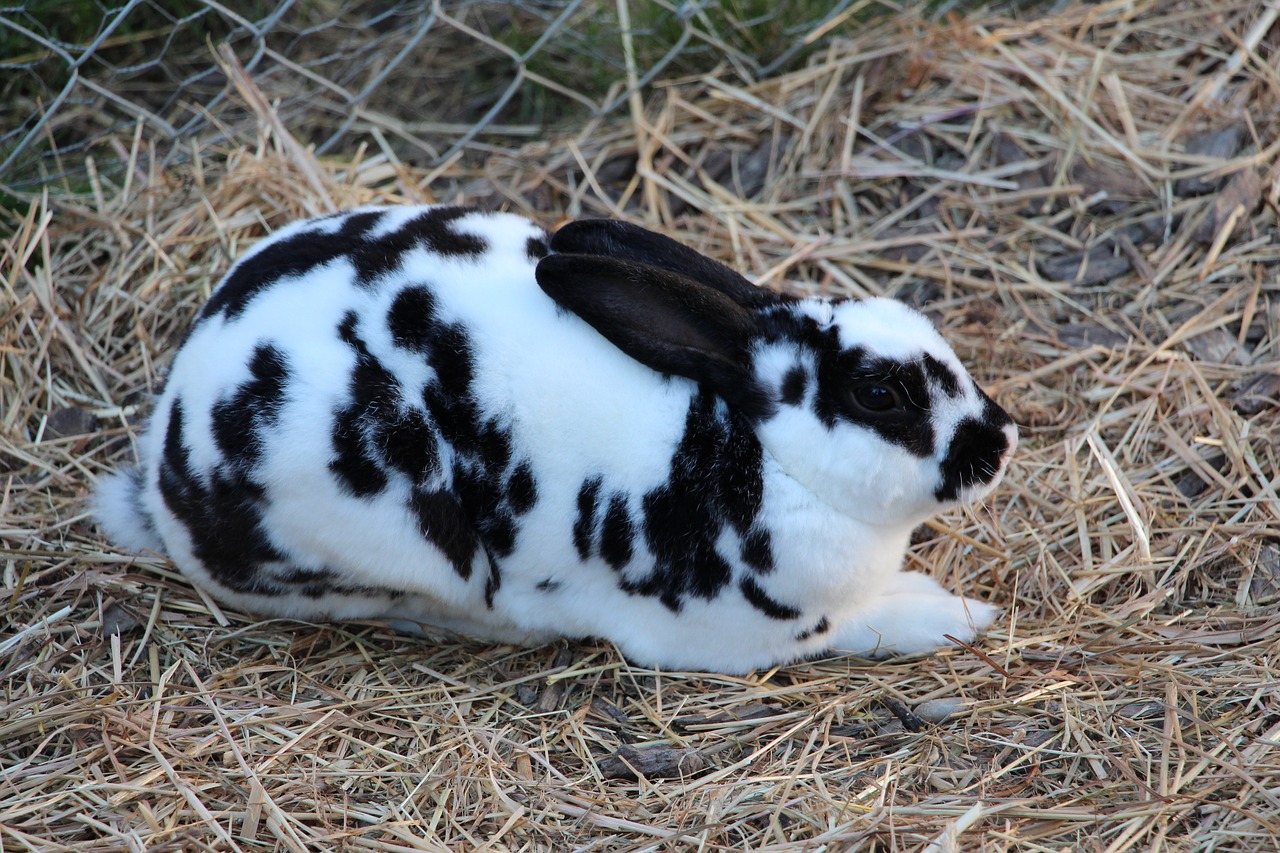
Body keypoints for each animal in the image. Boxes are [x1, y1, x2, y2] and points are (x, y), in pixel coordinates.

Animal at [94, 204, 1018, 671]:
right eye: (880, 393)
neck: (767, 455)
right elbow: (874, 626)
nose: (1000, 439)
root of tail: (167, 466)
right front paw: (960, 614)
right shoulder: (749, 637)